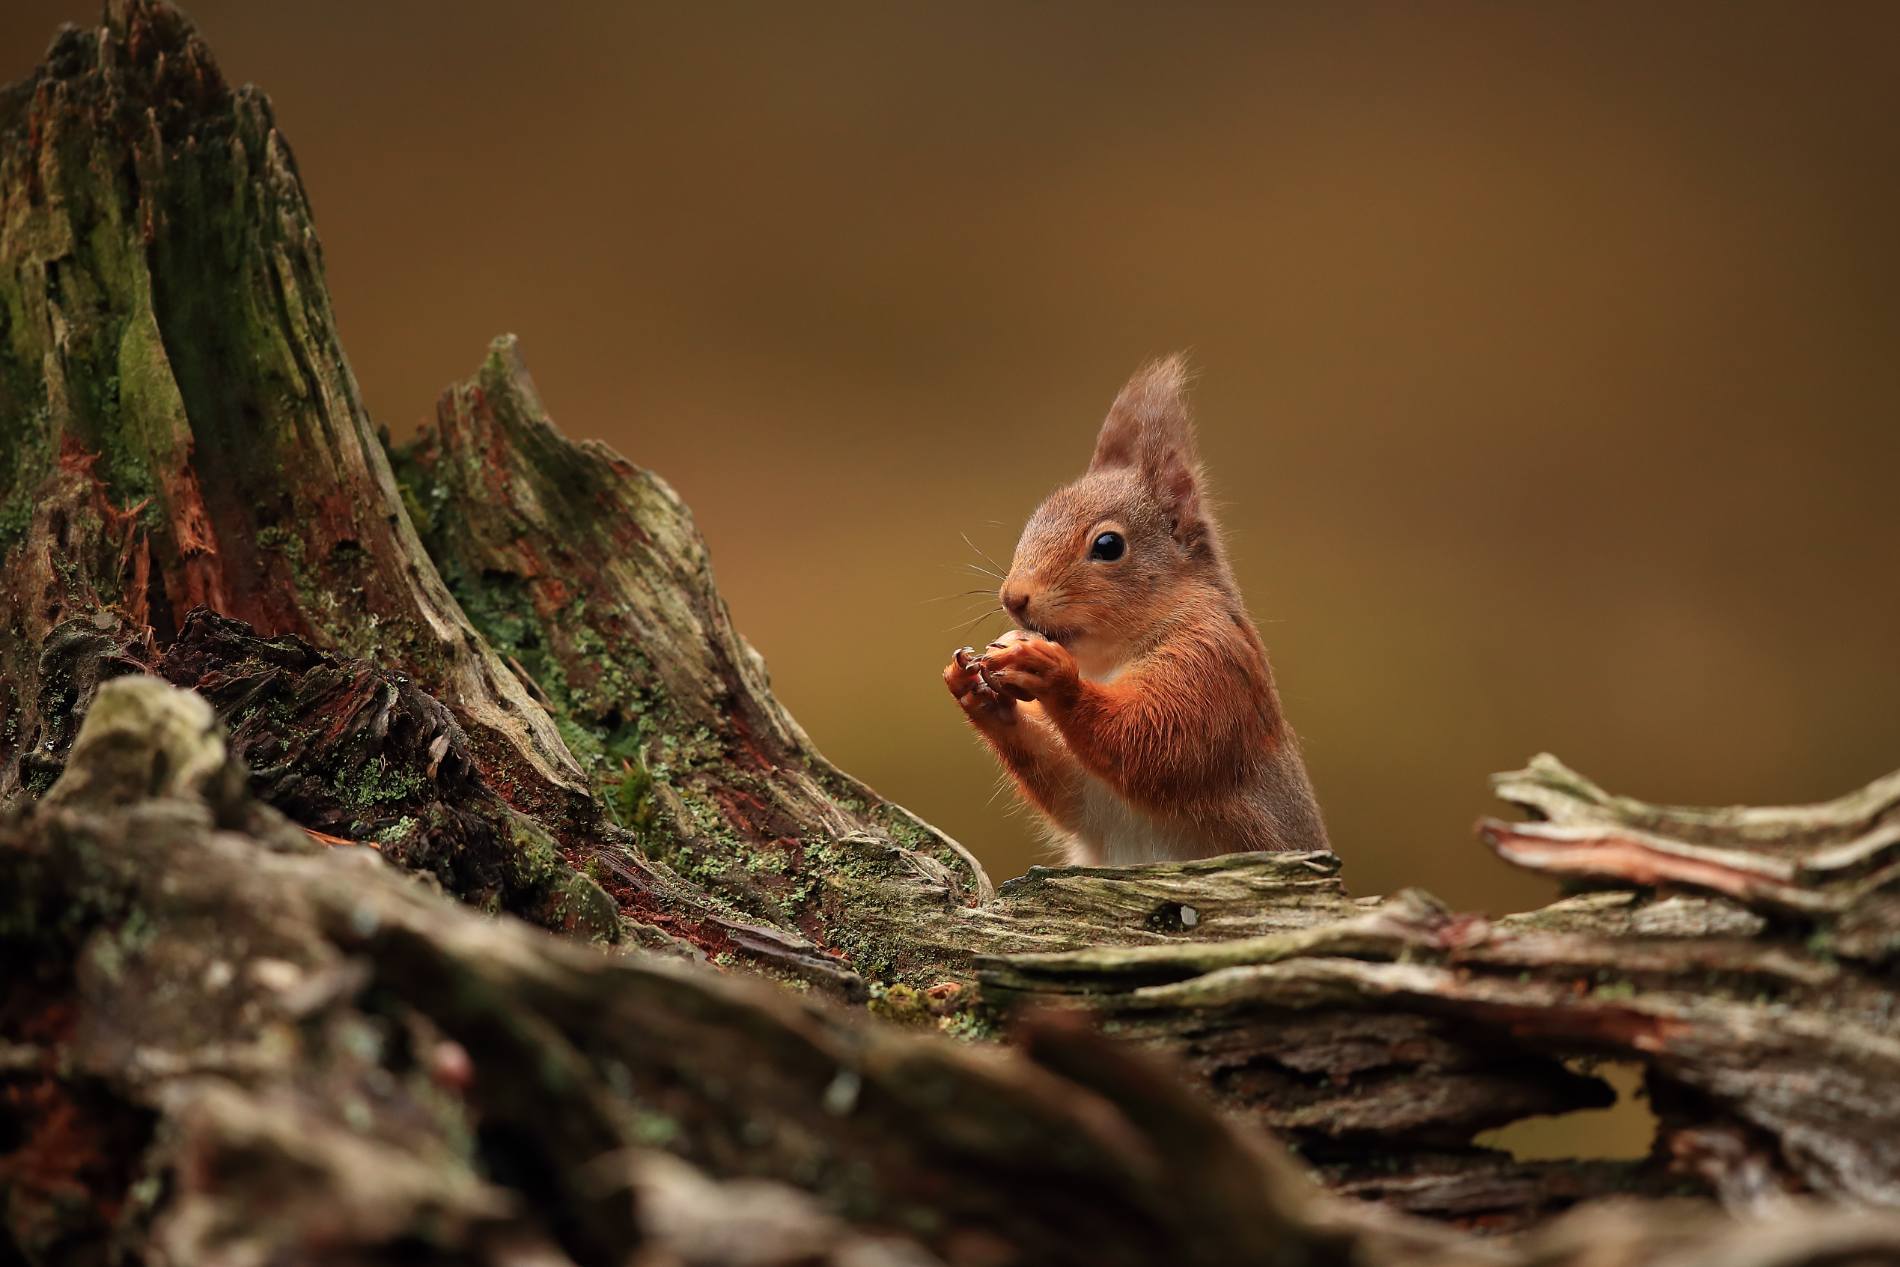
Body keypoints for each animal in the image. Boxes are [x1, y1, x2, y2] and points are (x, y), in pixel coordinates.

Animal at [943, 356, 1328, 867]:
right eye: (1035, 519)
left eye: (1108, 545)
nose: (1013, 598)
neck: (1108, 661)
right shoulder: (1095, 802)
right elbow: (1069, 790)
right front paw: (975, 692)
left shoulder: (1214, 664)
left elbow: (1155, 745)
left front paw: (1051, 674)